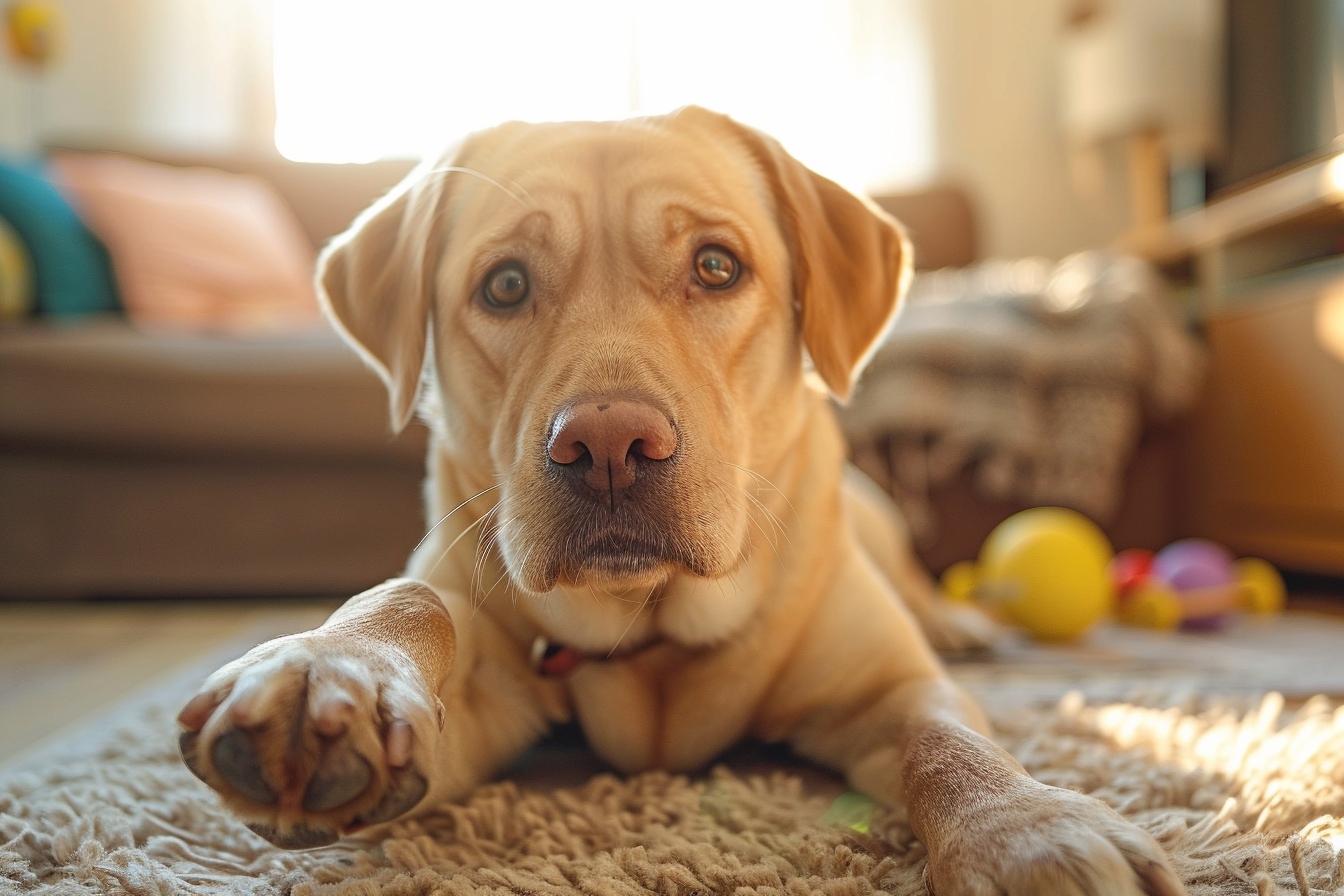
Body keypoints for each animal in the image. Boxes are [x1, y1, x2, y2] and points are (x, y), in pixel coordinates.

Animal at [181, 108, 1188, 891]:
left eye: (715, 267)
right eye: (504, 284)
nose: (608, 449)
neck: (653, 628)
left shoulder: (888, 682)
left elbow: (948, 742)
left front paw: (1027, 828)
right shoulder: (473, 690)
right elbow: (410, 598)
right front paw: (325, 669)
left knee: (920, 588)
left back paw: (962, 623)